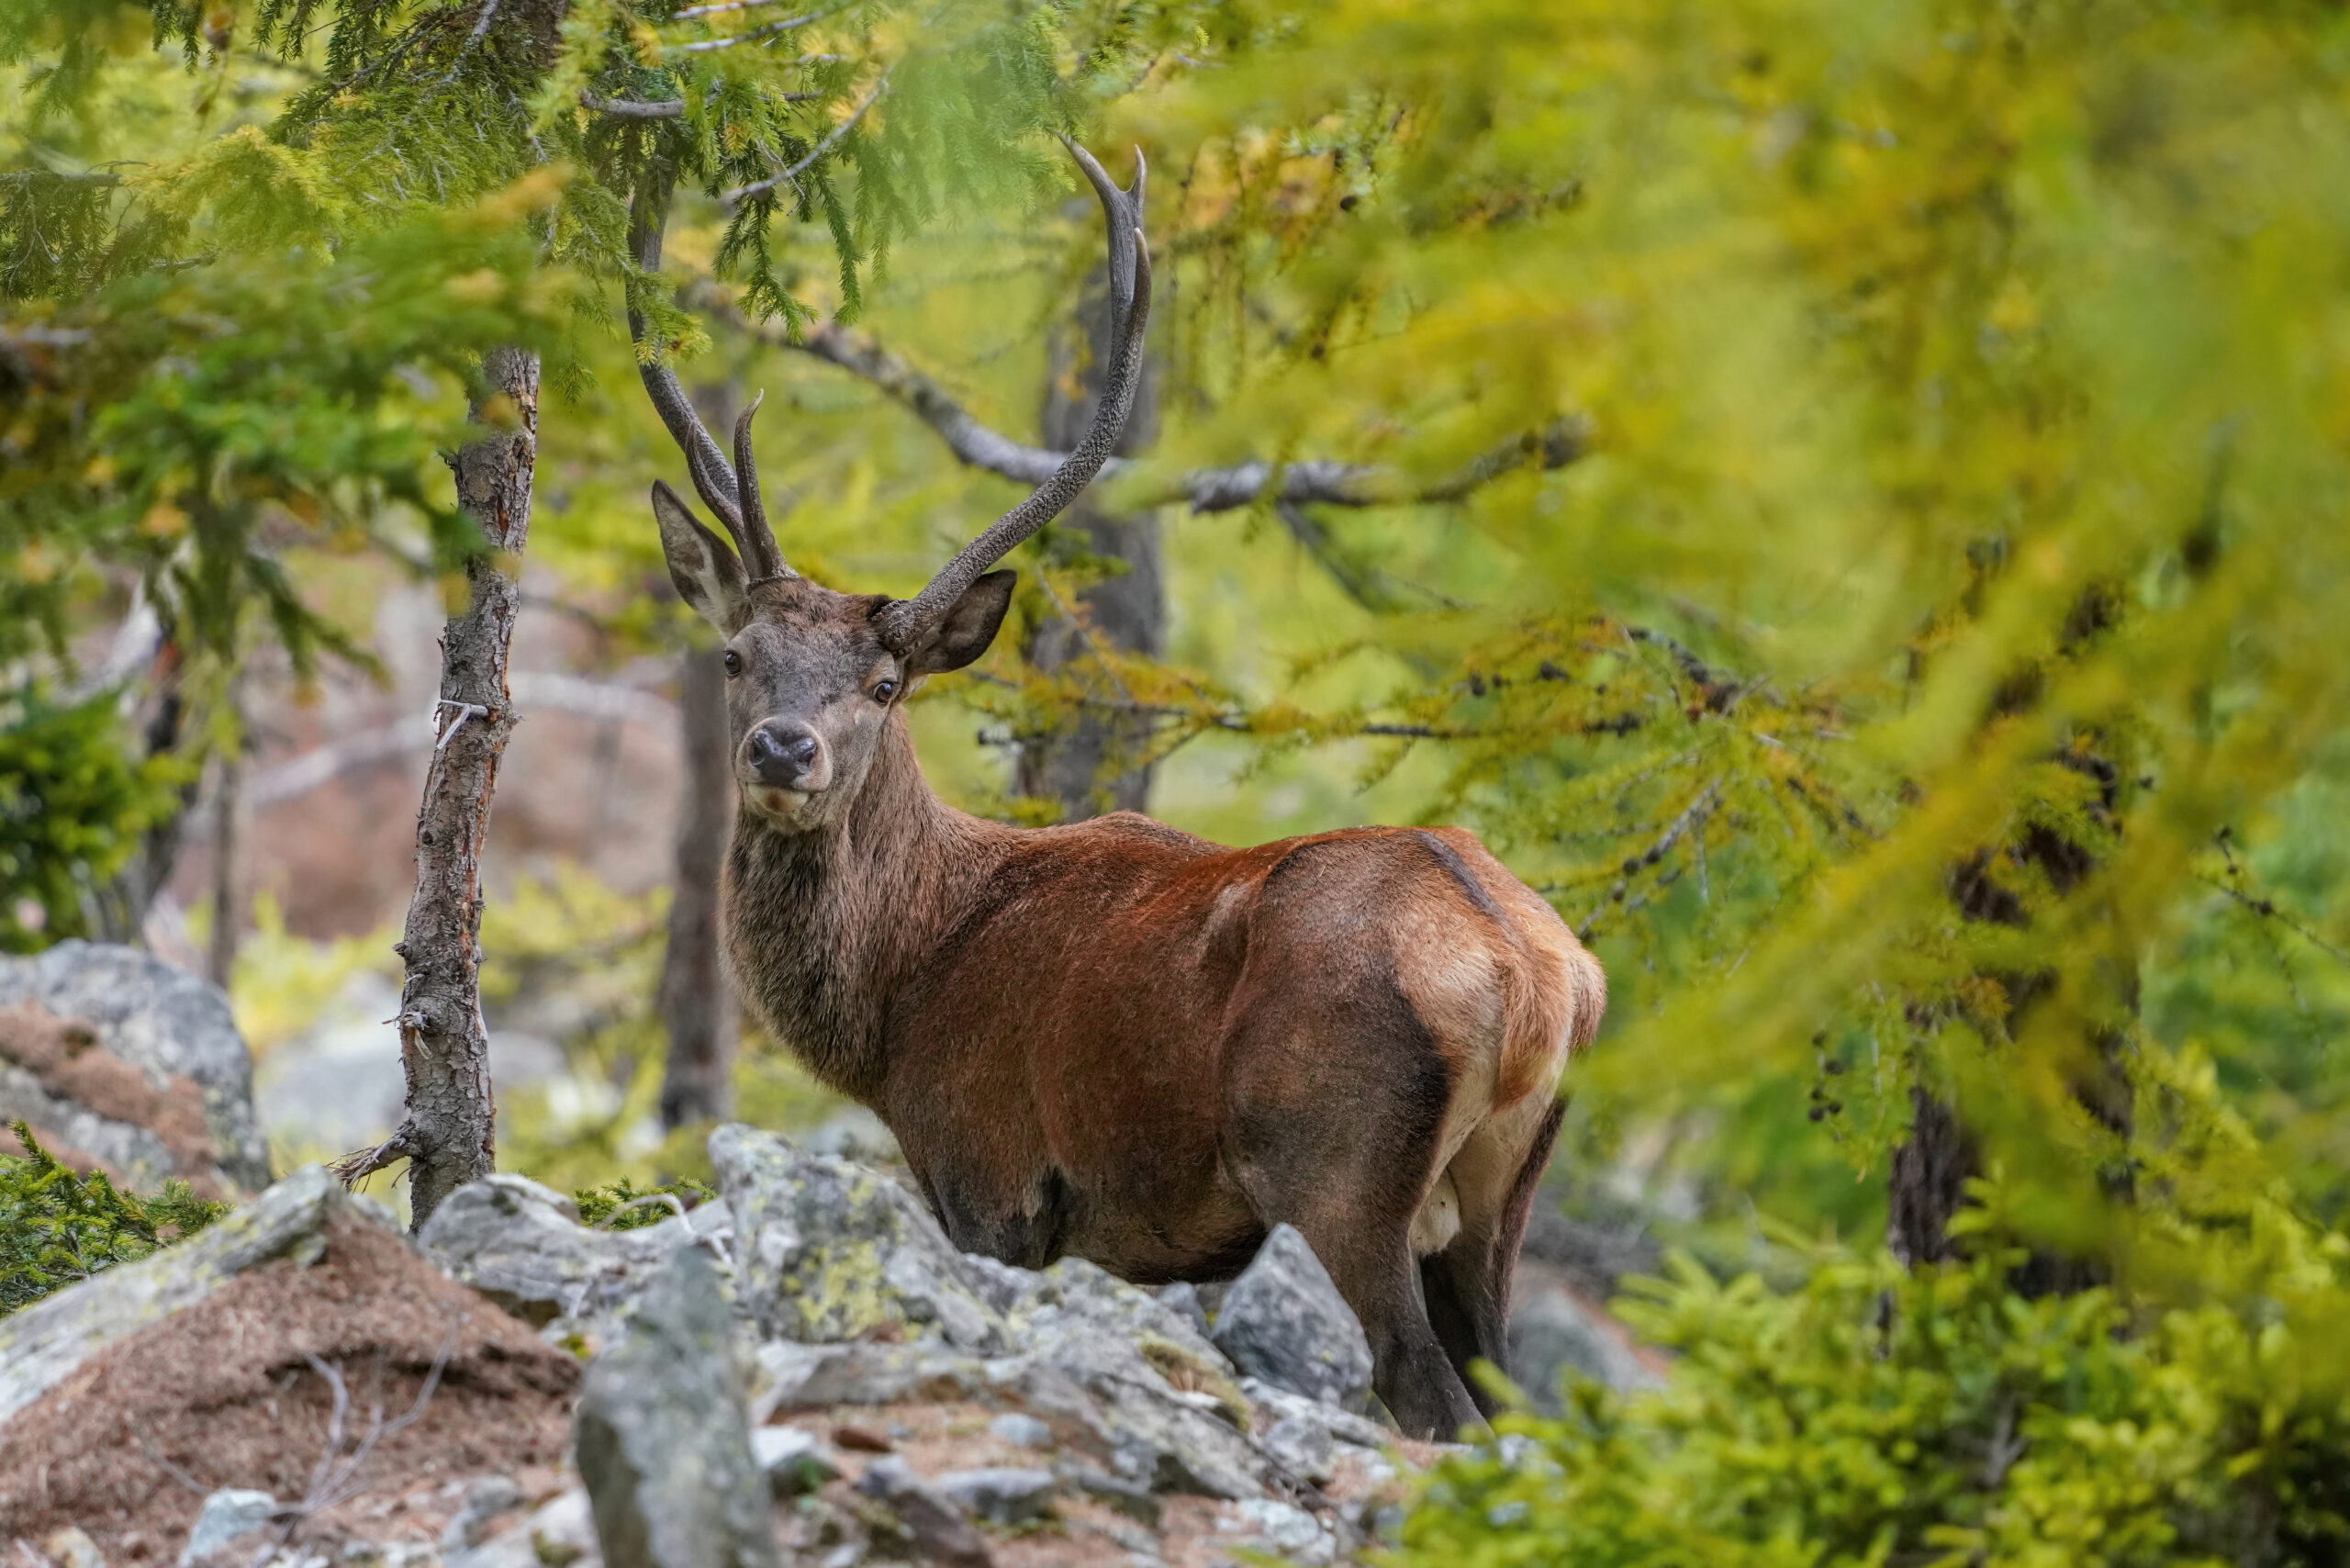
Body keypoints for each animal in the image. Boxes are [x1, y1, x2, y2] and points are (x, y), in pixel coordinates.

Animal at [628, 140, 1606, 1439]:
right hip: (1498, 1205)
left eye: (885, 683)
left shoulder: (988, 1175)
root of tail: (1536, 974)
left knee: (1433, 1401)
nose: (784, 750)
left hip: (1336, 1175)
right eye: (737, 655)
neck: (898, 1000)